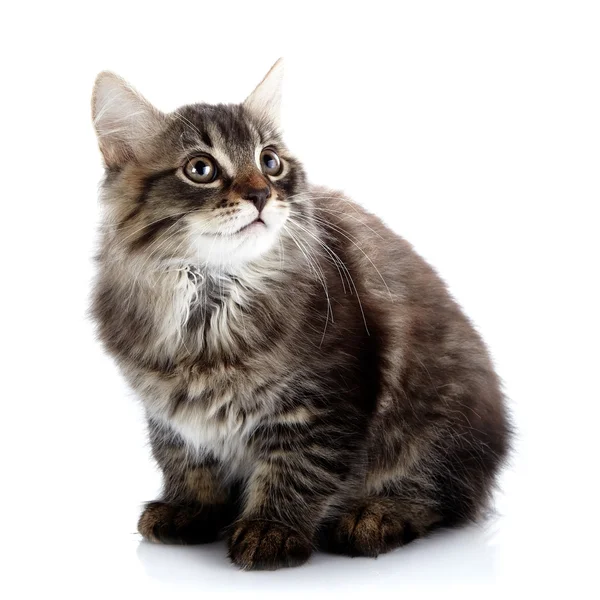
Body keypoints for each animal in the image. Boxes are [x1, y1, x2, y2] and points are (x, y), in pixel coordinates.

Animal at [90, 61, 510, 572]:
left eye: (270, 162)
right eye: (200, 169)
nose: (260, 194)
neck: (209, 303)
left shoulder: (323, 400)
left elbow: (298, 467)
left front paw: (272, 528)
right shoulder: (168, 411)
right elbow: (185, 459)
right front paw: (191, 507)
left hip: (439, 417)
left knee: (436, 492)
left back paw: (373, 516)